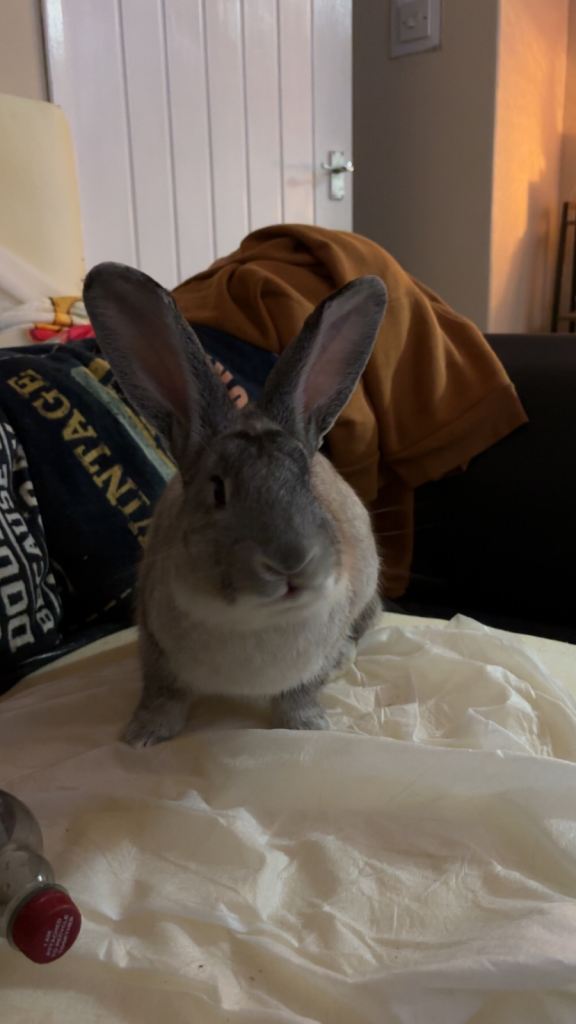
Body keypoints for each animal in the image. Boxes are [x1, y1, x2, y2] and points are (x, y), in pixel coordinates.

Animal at [83, 263, 387, 746]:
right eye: (218, 490)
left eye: (308, 483)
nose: (291, 564)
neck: (254, 619)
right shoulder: (154, 646)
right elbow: (162, 695)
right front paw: (143, 736)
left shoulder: (310, 667)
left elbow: (301, 692)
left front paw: (308, 725)